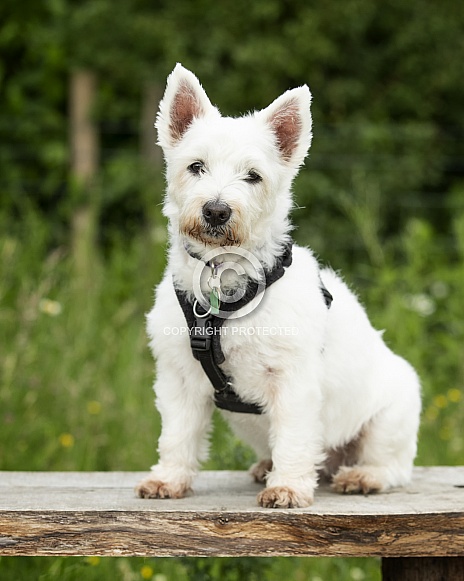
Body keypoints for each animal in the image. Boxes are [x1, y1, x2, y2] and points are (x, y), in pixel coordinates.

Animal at [136, 64, 422, 508]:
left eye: (253, 176)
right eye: (196, 166)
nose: (216, 211)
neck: (225, 282)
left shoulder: (292, 380)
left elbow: (293, 437)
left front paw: (287, 487)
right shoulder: (179, 376)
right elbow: (178, 435)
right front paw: (169, 479)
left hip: (392, 414)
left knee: (390, 464)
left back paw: (361, 476)